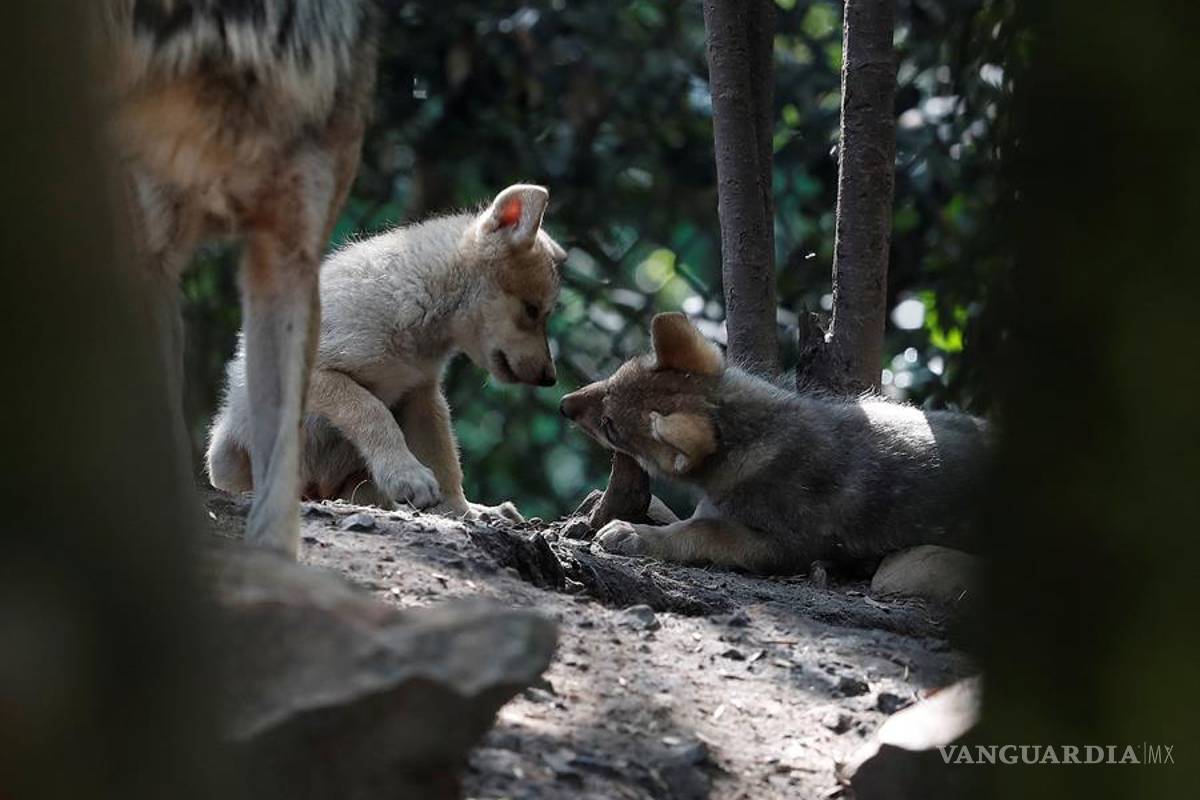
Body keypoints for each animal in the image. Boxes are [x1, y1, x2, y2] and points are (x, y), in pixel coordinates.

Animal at [207, 184, 566, 519]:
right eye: (532, 310)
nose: (550, 378)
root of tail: (316, 492)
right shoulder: (317, 373)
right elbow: (372, 412)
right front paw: (409, 477)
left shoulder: (421, 393)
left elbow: (444, 459)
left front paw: (461, 511)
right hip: (224, 452)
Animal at [560, 313, 990, 574]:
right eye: (612, 379)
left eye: (611, 427)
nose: (563, 405)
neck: (762, 432)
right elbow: (693, 519)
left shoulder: (786, 549)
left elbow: (700, 531)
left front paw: (635, 535)